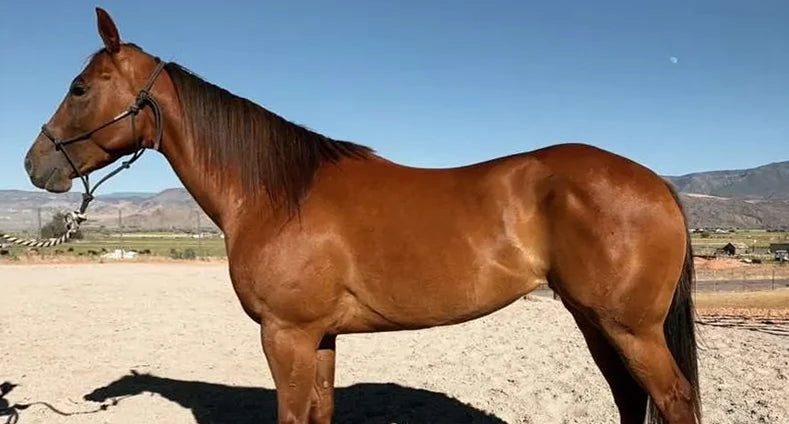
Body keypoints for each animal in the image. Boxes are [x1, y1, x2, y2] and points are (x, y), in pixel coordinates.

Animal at [23, 8, 700, 424]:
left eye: (80, 87)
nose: (34, 164)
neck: (277, 194)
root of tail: (657, 183)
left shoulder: (286, 334)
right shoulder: (320, 336)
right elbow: (321, 412)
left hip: (630, 328)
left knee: (672, 400)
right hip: (595, 321)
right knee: (630, 399)